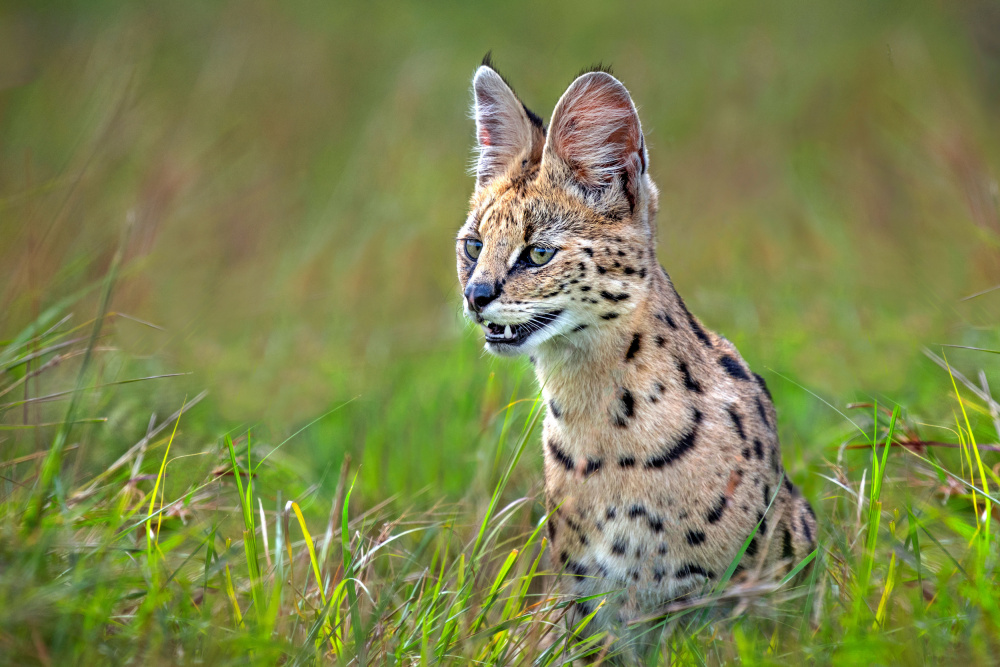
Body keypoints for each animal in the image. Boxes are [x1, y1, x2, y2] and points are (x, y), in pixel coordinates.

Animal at [458, 57, 816, 640]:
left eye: (538, 253)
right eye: (473, 246)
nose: (475, 295)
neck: (597, 425)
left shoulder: (727, 597)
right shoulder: (587, 602)